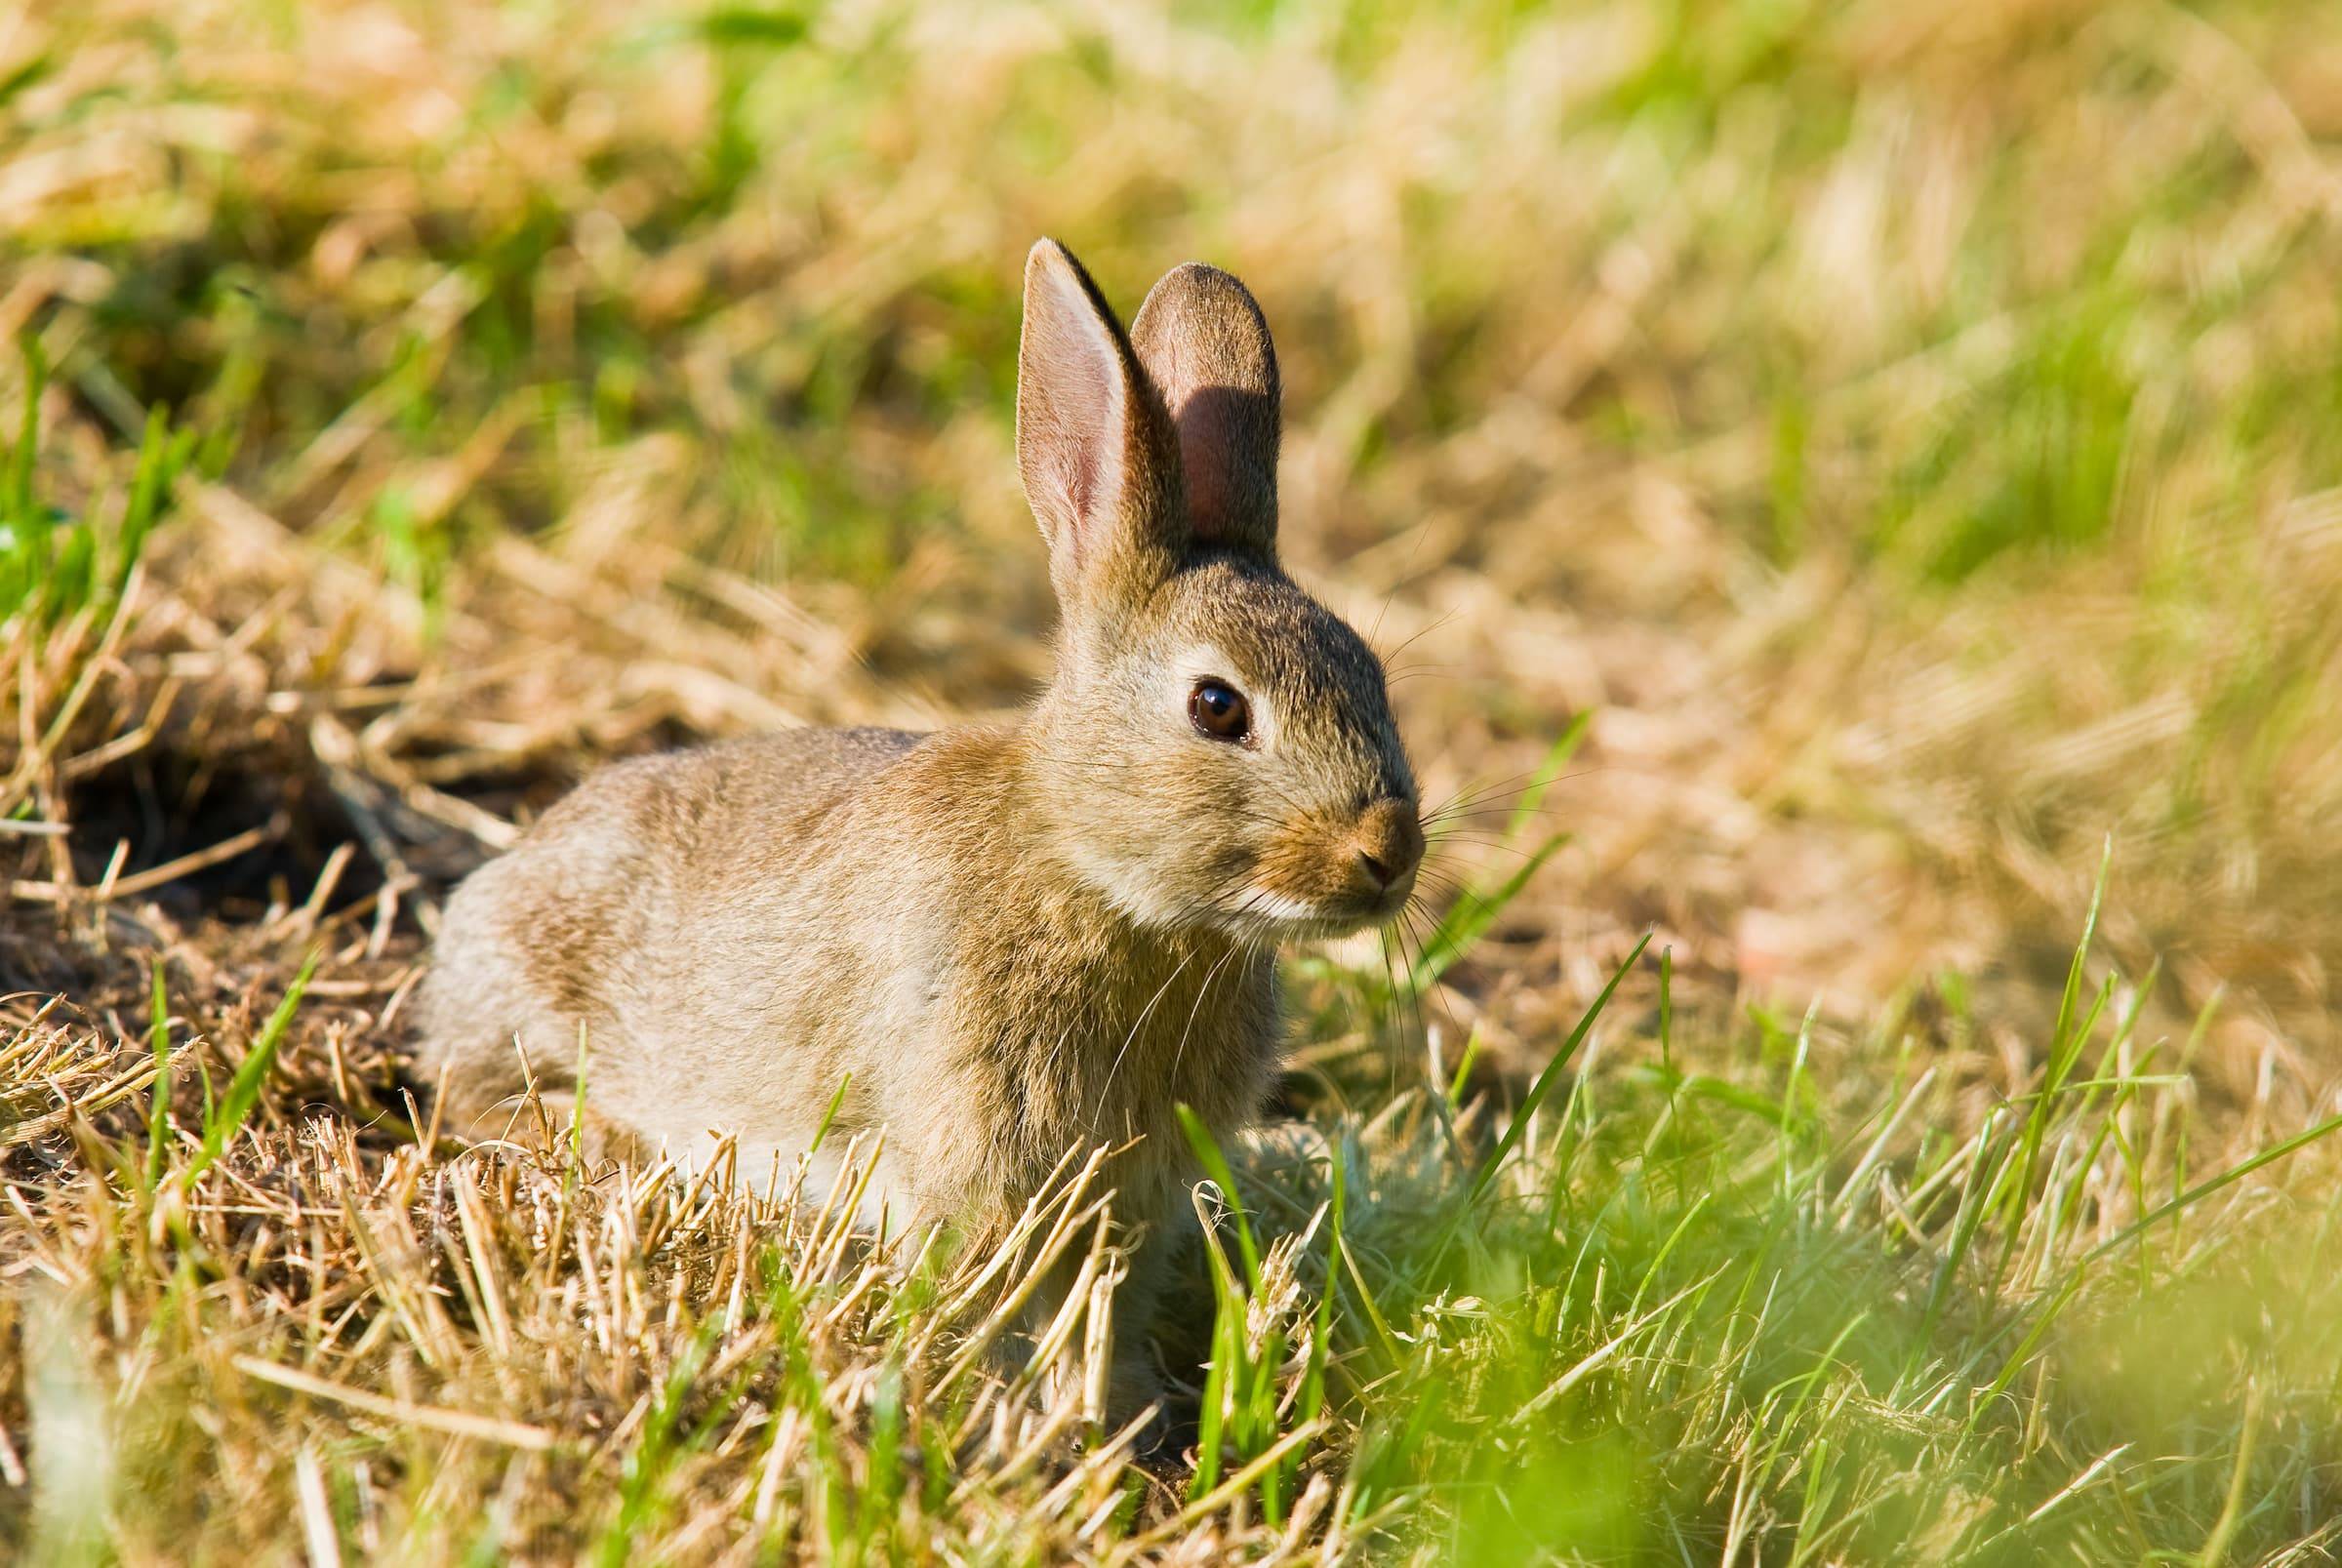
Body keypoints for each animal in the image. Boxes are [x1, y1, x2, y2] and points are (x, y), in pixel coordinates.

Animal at [412, 242, 1414, 1413]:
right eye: (1218, 707)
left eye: (1372, 672)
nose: (1389, 852)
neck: (1095, 877)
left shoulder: (1133, 1198)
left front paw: (1110, 1414)